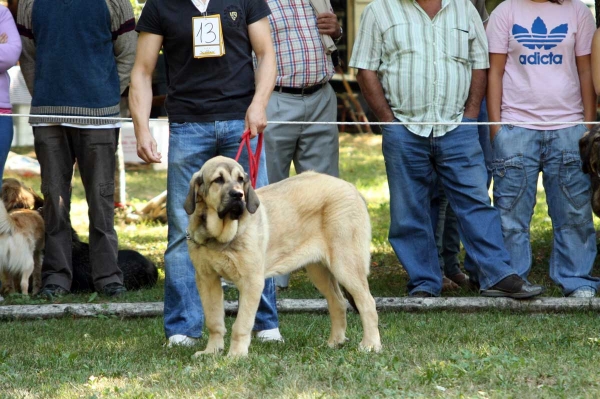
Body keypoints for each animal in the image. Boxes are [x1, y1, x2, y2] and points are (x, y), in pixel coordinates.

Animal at [183, 157, 382, 360]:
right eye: (218, 180)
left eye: (240, 179)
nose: (238, 195)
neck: (221, 236)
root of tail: (352, 188)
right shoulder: (207, 279)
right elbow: (214, 320)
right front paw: (211, 352)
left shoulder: (251, 282)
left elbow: (241, 324)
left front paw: (236, 355)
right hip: (319, 270)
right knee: (338, 302)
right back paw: (335, 342)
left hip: (346, 265)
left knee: (367, 303)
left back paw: (370, 345)